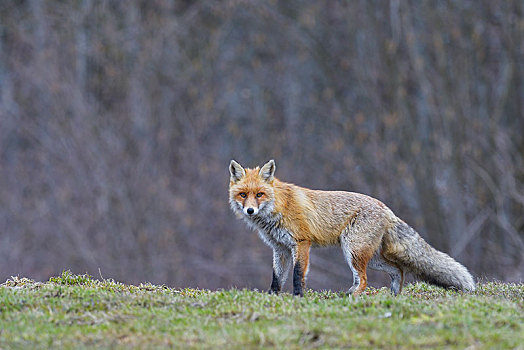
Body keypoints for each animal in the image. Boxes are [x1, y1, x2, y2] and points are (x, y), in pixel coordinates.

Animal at [228, 160, 474, 296]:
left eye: (260, 194)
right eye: (243, 195)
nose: (250, 211)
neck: (279, 206)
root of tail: (386, 209)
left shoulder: (301, 243)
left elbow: (298, 275)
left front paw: (298, 297)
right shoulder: (280, 249)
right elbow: (277, 278)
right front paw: (272, 297)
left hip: (353, 251)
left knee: (364, 280)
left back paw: (354, 298)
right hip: (368, 256)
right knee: (397, 270)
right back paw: (392, 296)